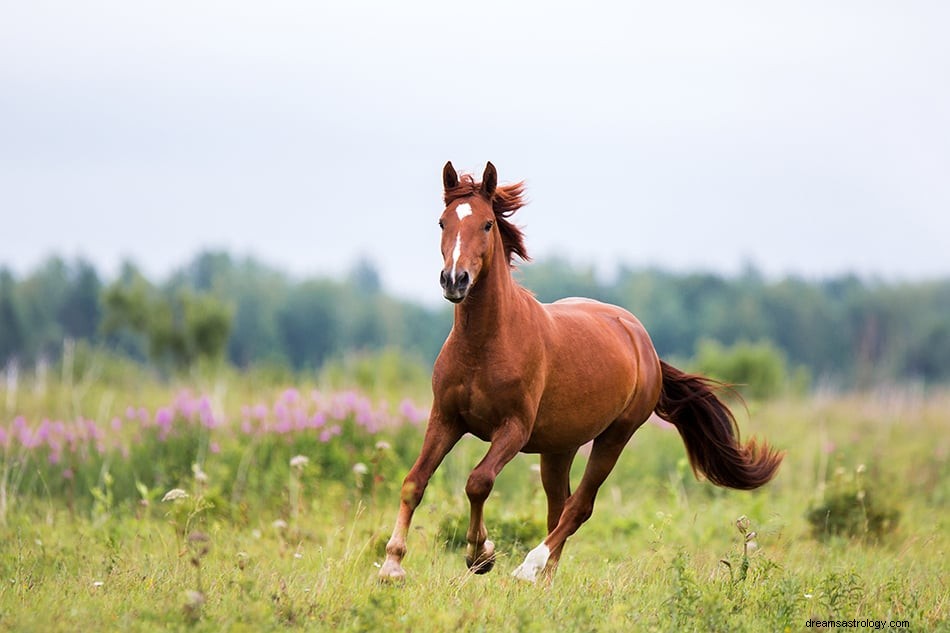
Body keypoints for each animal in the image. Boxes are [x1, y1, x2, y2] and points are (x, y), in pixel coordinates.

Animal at [380, 160, 788, 580]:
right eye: (443, 222)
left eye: (488, 224)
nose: (454, 280)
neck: (484, 345)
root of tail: (642, 341)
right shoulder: (445, 418)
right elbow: (414, 482)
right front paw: (392, 564)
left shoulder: (513, 428)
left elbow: (479, 481)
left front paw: (481, 554)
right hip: (560, 447)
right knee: (558, 507)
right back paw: (545, 580)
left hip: (614, 437)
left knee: (578, 507)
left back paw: (530, 567)